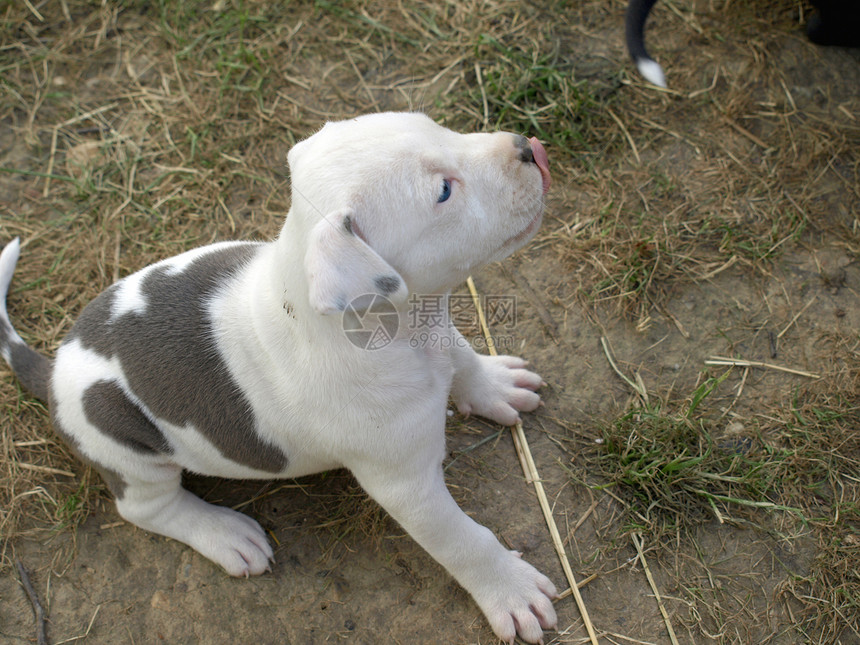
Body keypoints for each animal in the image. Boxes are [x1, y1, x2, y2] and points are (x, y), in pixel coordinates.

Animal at [0, 113, 556, 640]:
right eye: (443, 191)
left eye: (440, 128)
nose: (528, 147)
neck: (401, 334)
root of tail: (56, 368)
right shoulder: (406, 484)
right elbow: (463, 540)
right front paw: (511, 591)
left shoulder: (439, 332)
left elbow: (464, 360)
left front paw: (496, 385)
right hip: (126, 450)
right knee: (147, 508)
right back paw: (227, 534)